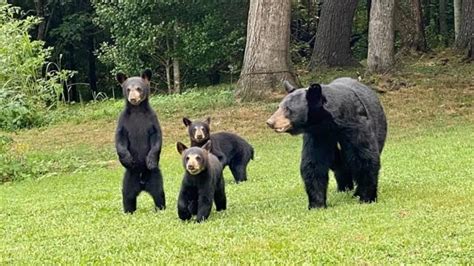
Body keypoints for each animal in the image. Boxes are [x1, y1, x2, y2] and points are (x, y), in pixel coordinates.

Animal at [115, 69, 166, 213]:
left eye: (139, 88)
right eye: (128, 89)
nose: (133, 98)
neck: (137, 110)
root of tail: (142, 184)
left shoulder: (152, 119)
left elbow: (156, 138)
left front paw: (150, 160)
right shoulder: (123, 122)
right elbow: (120, 139)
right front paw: (127, 159)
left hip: (155, 177)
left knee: (159, 193)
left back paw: (160, 208)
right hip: (129, 178)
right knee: (127, 195)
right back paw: (128, 210)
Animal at [266, 78, 386, 209]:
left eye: (288, 109)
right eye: (278, 107)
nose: (270, 122)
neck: (329, 123)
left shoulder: (356, 125)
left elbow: (364, 158)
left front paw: (366, 198)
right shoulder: (318, 135)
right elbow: (314, 162)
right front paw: (317, 204)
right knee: (339, 165)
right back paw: (343, 188)